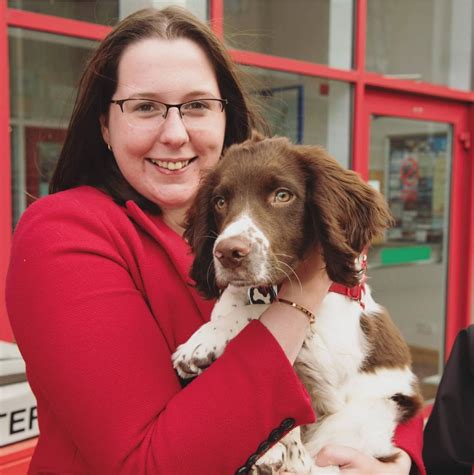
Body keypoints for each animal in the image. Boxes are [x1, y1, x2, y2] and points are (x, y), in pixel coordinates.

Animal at [172, 136, 424, 474]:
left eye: (283, 195)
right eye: (220, 201)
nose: (227, 253)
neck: (270, 287)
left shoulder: (331, 372)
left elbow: (262, 311)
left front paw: (200, 343)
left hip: (370, 413)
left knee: (312, 463)